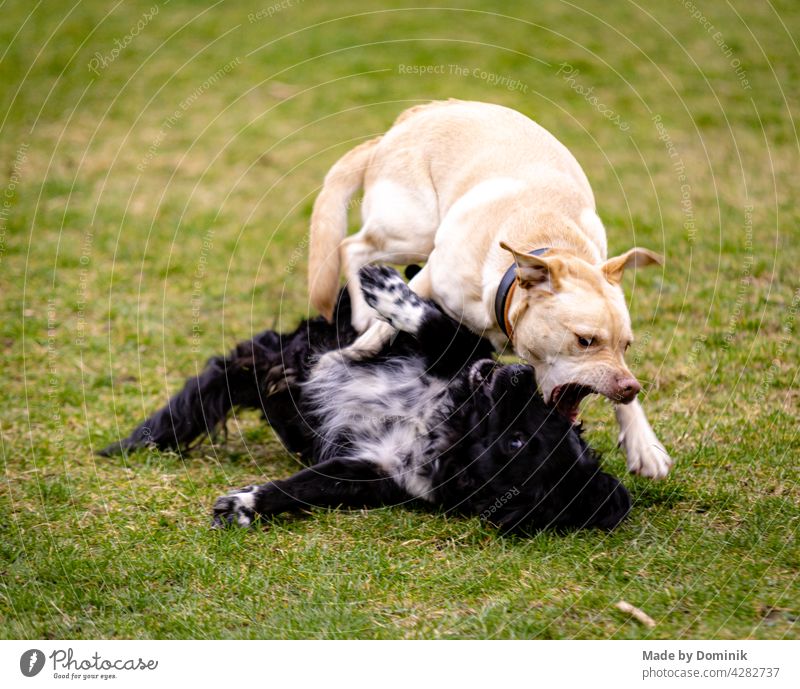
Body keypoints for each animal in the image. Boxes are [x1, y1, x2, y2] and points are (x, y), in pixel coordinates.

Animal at [104, 264, 632, 532]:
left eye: (517, 442)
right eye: (552, 413)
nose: (521, 374)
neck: (443, 420)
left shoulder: (368, 474)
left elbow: (304, 486)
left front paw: (246, 505)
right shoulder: (458, 352)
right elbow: (433, 323)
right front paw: (385, 286)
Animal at [310, 101, 672, 478]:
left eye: (626, 345)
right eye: (584, 341)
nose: (631, 388)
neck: (549, 241)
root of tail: (409, 118)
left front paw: (643, 444)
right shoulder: (433, 273)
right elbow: (387, 324)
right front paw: (346, 356)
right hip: (413, 234)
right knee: (352, 247)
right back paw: (363, 314)